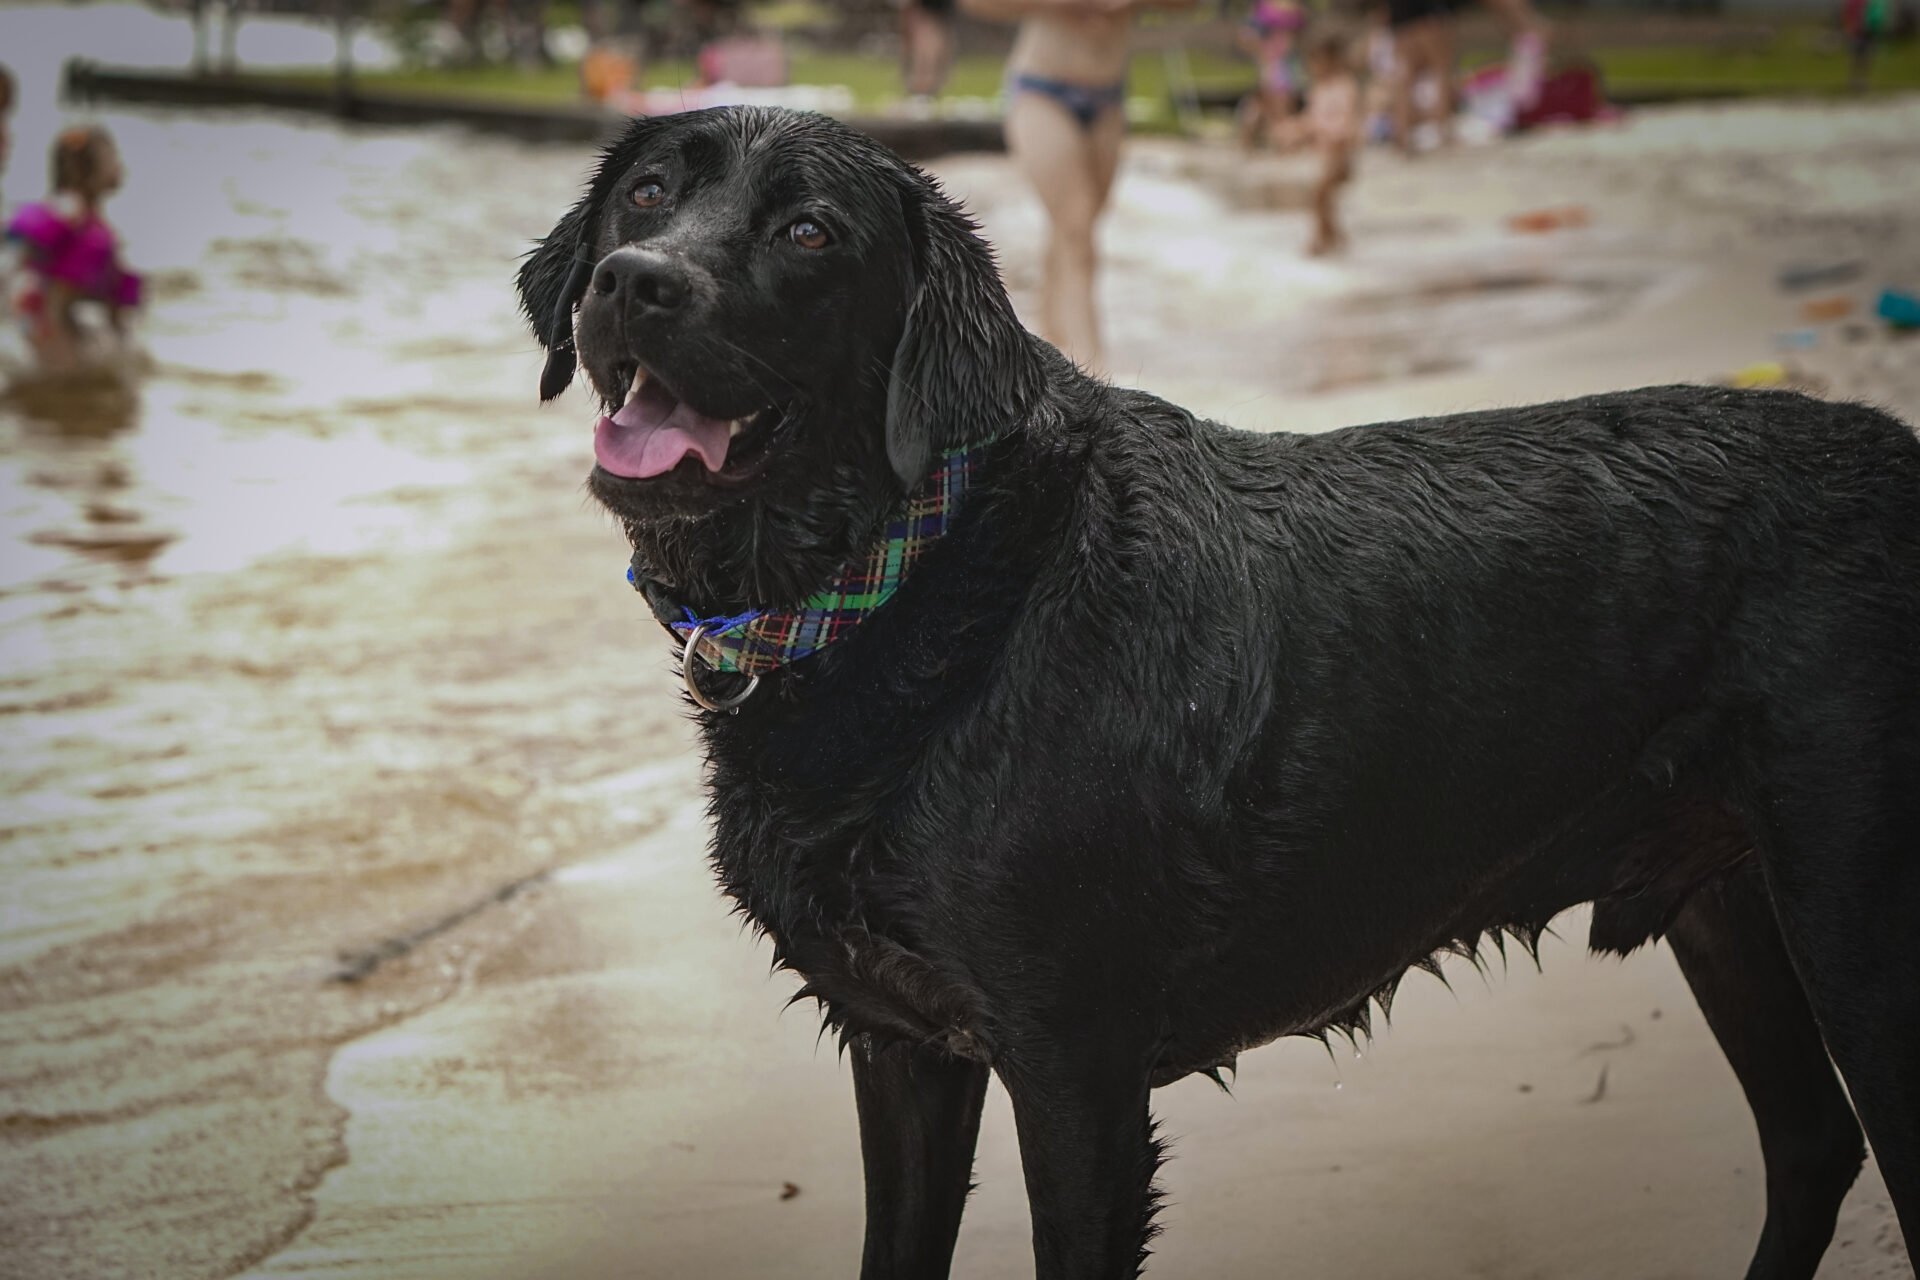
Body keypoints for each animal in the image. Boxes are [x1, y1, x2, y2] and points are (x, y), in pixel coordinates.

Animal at [518, 107, 1912, 1274]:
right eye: (647, 193)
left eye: (808, 231)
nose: (633, 281)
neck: (906, 575)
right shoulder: (904, 1050)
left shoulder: (1074, 1071)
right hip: (1729, 901)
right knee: (1811, 1142)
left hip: (1855, 921)